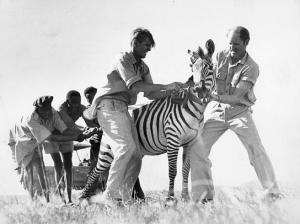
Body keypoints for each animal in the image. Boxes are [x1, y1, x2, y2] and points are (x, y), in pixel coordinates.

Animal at [79, 39, 216, 202]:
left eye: (211, 67)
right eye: (192, 69)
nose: (199, 91)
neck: (196, 110)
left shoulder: (190, 142)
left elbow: (185, 170)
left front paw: (185, 198)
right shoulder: (173, 139)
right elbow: (172, 170)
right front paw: (170, 199)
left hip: (136, 150)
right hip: (108, 148)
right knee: (96, 171)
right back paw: (83, 197)